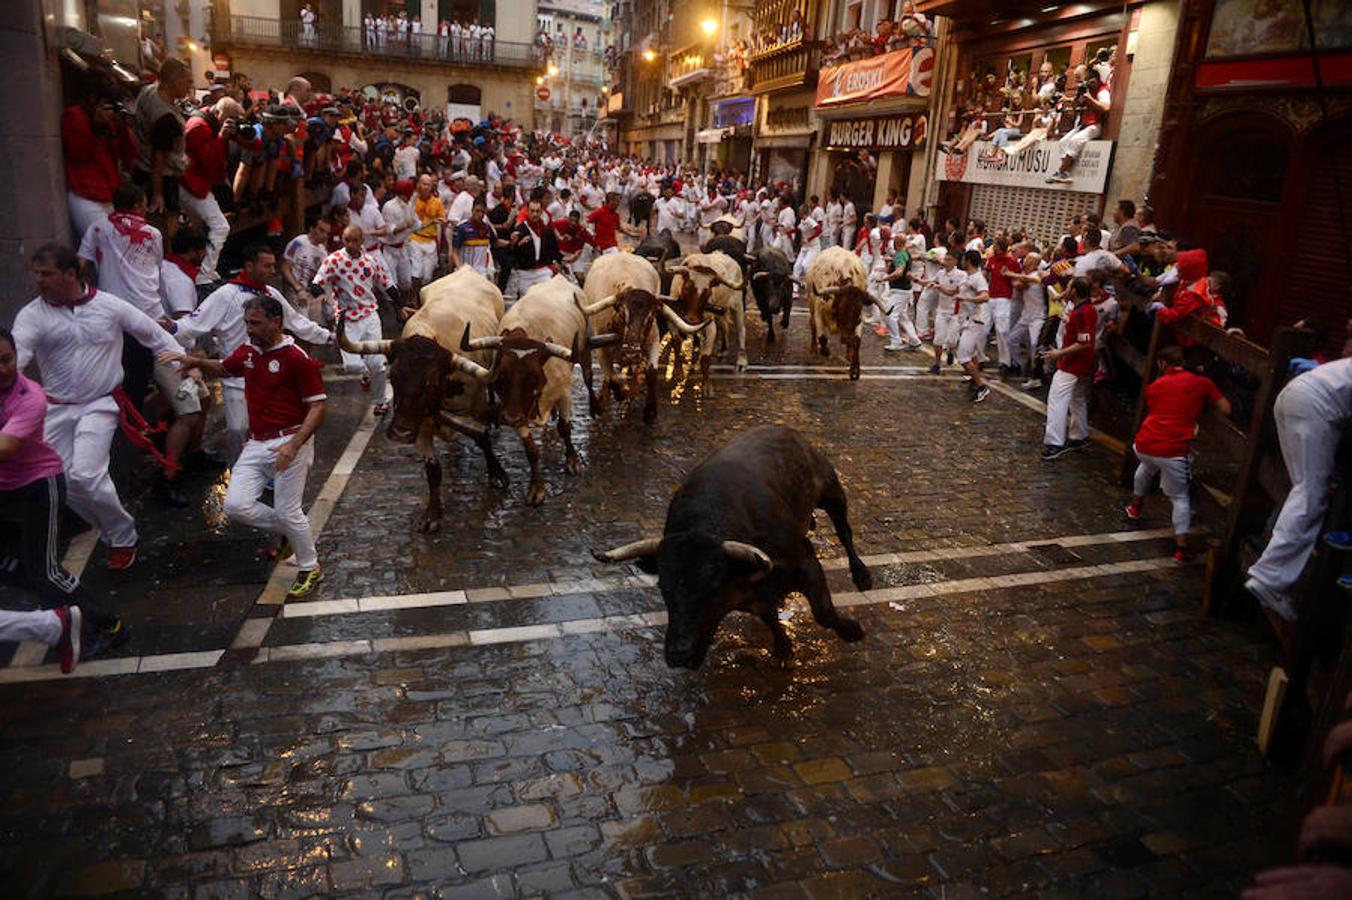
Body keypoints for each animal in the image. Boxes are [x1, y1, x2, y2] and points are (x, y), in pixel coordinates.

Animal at [338, 266, 508, 532]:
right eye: (393, 376)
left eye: (431, 383)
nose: (400, 433)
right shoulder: (421, 425)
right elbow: (433, 470)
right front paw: (432, 515)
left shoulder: (475, 406)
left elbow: (482, 436)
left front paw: (496, 474)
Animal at [578, 248, 708, 424]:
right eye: (621, 313)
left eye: (651, 316)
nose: (631, 353)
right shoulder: (601, 350)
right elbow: (611, 377)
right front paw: (618, 394)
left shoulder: (652, 340)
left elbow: (651, 373)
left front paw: (650, 411)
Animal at [589, 421, 865, 664]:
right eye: (663, 588)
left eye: (712, 590)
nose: (679, 655)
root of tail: (785, 431)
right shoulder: (754, 599)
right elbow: (770, 618)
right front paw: (783, 647)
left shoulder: (805, 561)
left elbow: (823, 612)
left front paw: (852, 630)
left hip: (831, 491)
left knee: (844, 532)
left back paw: (862, 575)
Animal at [805, 243, 892, 375]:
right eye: (842, 307)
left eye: (858, 311)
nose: (846, 338)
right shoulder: (819, 311)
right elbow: (822, 338)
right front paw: (824, 351)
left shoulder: (860, 319)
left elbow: (857, 341)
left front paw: (854, 367)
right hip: (811, 304)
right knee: (813, 326)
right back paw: (814, 348)